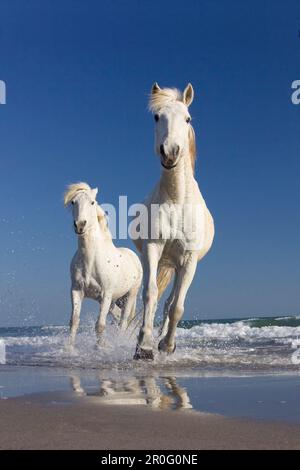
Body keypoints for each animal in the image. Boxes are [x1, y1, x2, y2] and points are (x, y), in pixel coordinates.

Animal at [63, 182, 143, 346]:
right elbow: (74, 321)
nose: (80, 225)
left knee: (123, 321)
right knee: (118, 317)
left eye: (92, 202)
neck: (91, 260)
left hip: (130, 295)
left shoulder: (106, 294)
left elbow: (100, 325)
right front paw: (69, 349)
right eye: (73, 202)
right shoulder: (76, 291)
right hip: (114, 300)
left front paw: (99, 348)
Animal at [132, 83, 214, 360]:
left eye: (187, 118)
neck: (177, 199)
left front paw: (166, 345)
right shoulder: (152, 248)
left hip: (178, 267)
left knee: (171, 302)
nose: (170, 152)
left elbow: (177, 306)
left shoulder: (188, 260)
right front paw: (144, 347)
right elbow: (150, 295)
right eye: (157, 117)